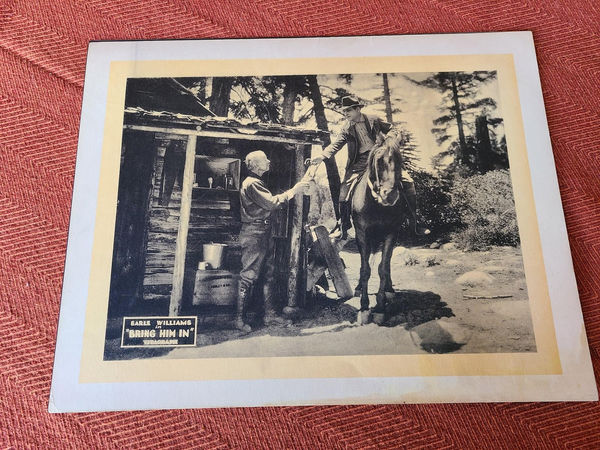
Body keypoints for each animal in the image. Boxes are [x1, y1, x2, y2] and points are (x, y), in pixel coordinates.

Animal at [352, 130, 408, 324]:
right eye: (379, 161)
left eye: (400, 161)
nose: (389, 195)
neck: (375, 205)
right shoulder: (362, 234)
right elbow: (365, 270)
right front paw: (364, 307)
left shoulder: (391, 234)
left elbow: (383, 268)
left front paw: (381, 307)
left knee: (387, 263)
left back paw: (389, 290)